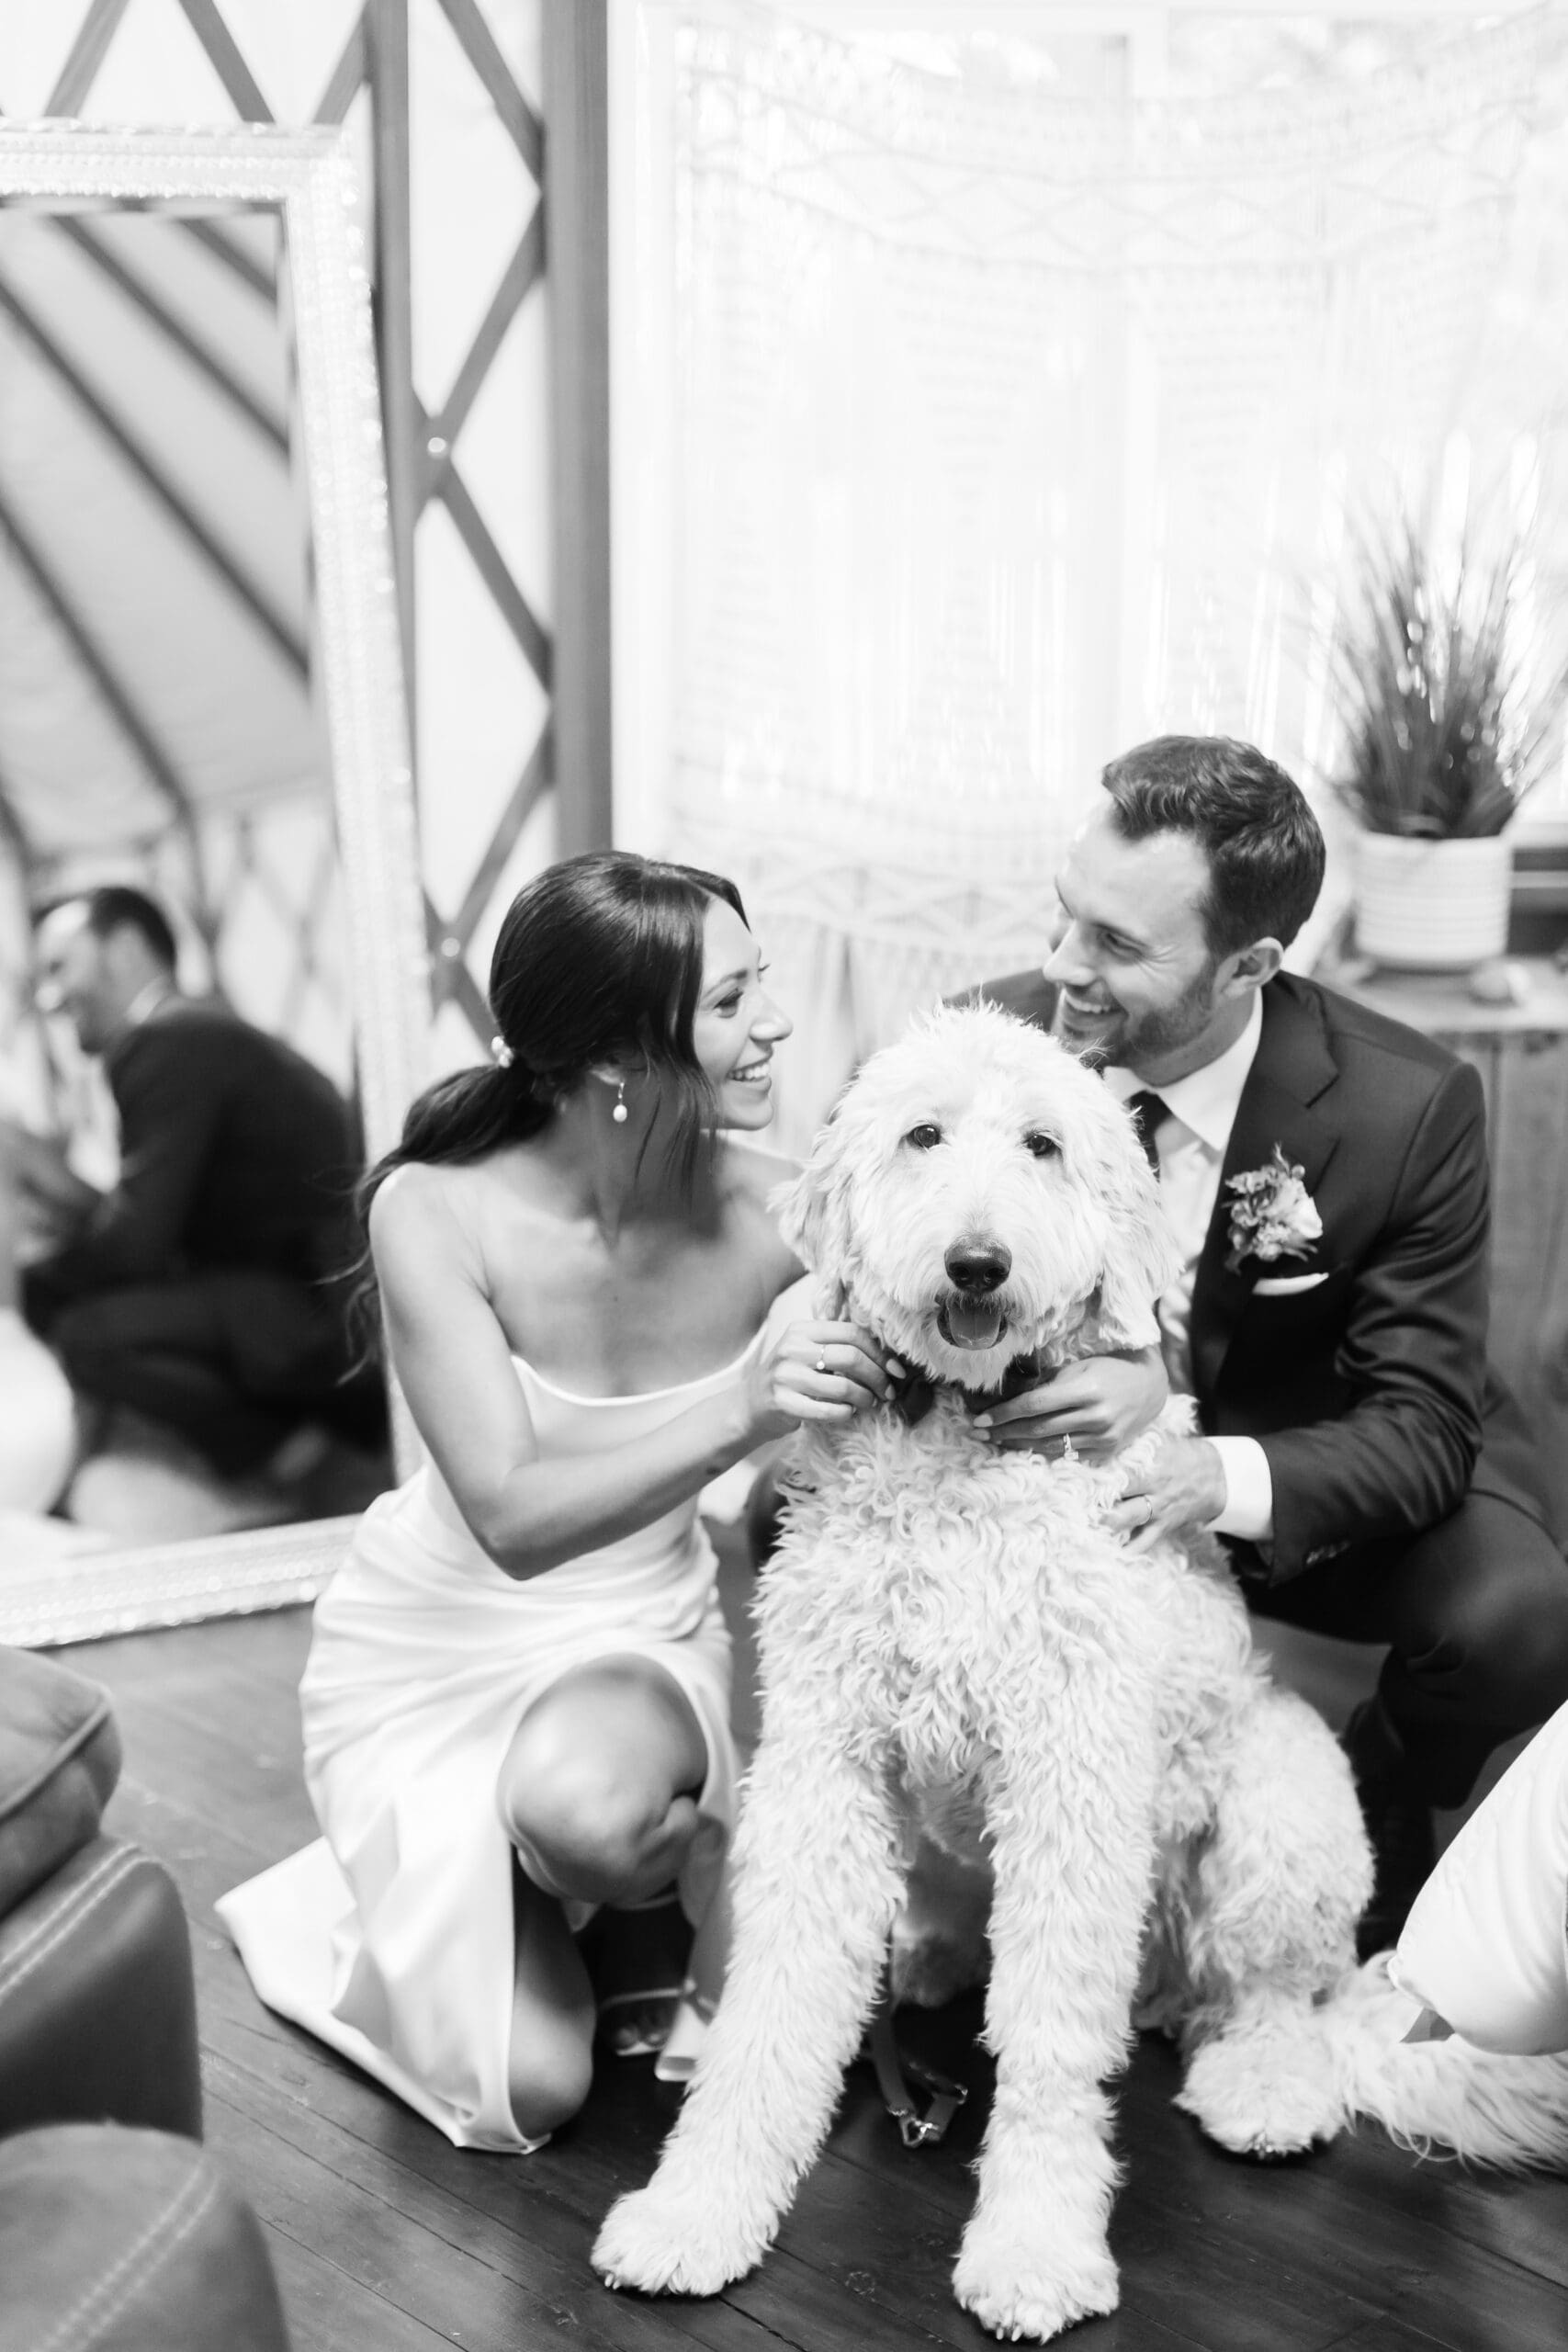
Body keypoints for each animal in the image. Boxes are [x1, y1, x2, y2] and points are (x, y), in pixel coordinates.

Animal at [592, 1006, 1568, 2333]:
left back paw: (1262, 2079)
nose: (975, 1264)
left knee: (1267, 1995)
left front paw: (1035, 2244)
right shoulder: (826, 1764)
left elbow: (1051, 2038)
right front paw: (701, 2208)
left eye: (1043, 1146)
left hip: (1282, 1807)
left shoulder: (1072, 1779)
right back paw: (935, 1960)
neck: (957, 1438)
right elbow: (774, 2004)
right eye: (922, 1134)